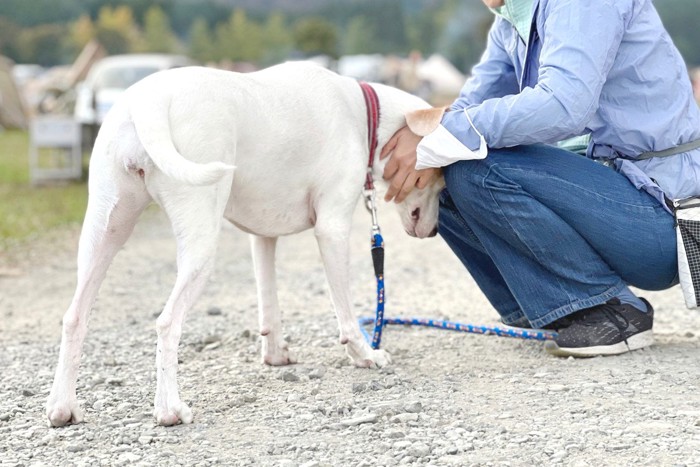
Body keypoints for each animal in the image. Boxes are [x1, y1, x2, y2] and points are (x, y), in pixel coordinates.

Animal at [46, 62, 446, 428]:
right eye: (437, 178)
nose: (432, 233)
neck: (363, 115)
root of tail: (148, 100)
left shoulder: (262, 237)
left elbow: (269, 305)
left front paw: (275, 355)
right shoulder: (332, 231)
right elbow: (346, 313)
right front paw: (365, 355)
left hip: (104, 232)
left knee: (75, 317)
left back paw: (63, 408)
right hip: (200, 243)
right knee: (167, 322)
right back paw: (169, 410)